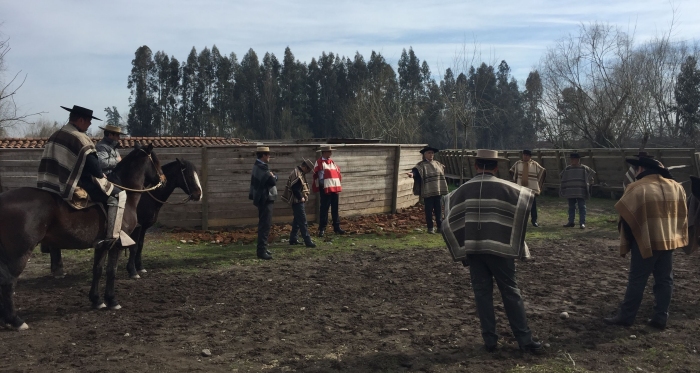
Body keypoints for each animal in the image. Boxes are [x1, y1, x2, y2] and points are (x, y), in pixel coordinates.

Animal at [0, 142, 163, 328]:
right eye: (155, 161)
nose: (162, 180)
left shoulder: (102, 245)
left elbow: (97, 270)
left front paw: (97, 300)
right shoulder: (117, 244)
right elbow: (111, 271)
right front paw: (112, 300)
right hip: (19, 253)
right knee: (8, 282)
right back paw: (15, 320)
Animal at [46, 158, 202, 280]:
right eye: (189, 175)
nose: (198, 194)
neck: (143, 196)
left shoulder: (143, 227)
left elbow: (140, 245)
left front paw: (140, 267)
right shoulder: (137, 227)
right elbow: (134, 247)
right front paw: (132, 271)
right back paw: (58, 271)